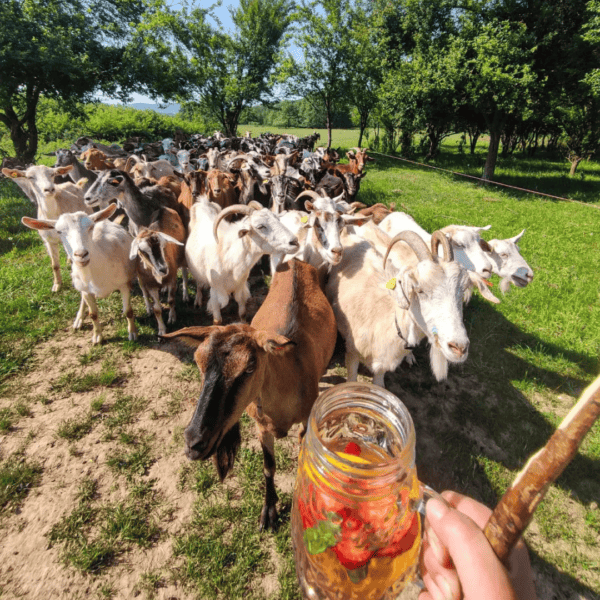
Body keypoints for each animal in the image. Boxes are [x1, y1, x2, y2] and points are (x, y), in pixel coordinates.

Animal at [22, 204, 137, 344]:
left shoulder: (124, 284)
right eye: (59, 231)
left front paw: (132, 333)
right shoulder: (86, 290)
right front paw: (97, 336)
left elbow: (128, 311)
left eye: (91, 227)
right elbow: (93, 314)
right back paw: (78, 320)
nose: (81, 254)